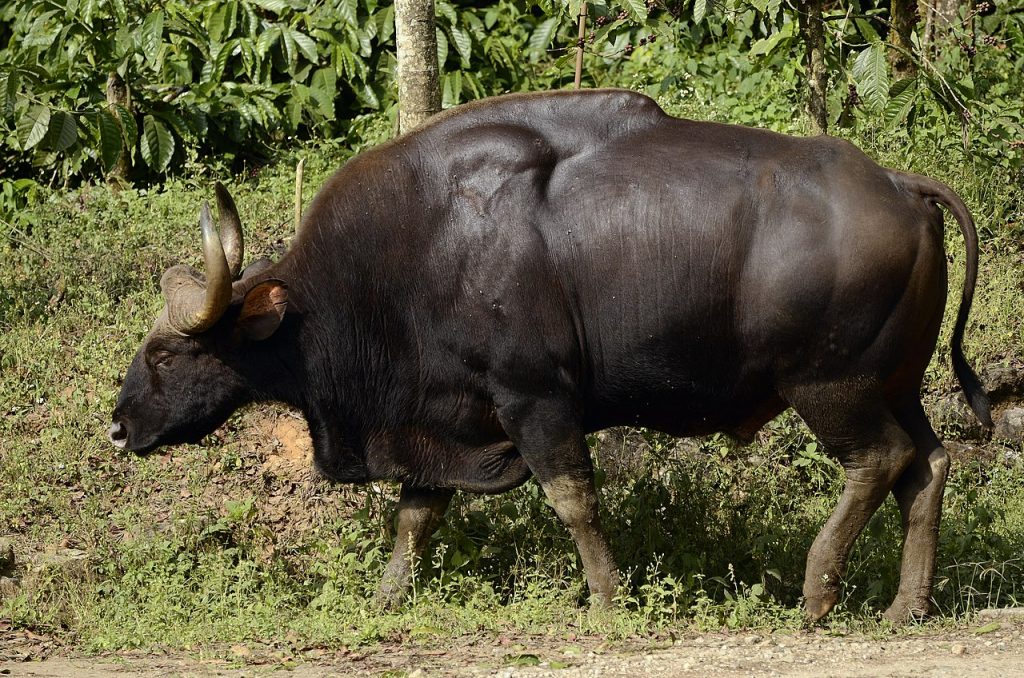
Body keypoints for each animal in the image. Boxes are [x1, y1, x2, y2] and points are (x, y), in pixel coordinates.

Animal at [110, 89, 991, 622]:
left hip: (829, 385)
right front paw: (389, 598)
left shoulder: (534, 399)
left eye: (166, 353)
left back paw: (817, 592)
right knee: (928, 464)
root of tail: (901, 184)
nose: (118, 427)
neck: (413, 253)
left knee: (877, 461)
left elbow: (573, 500)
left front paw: (606, 599)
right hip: (896, 382)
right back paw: (907, 604)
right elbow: (415, 516)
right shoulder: (441, 416)